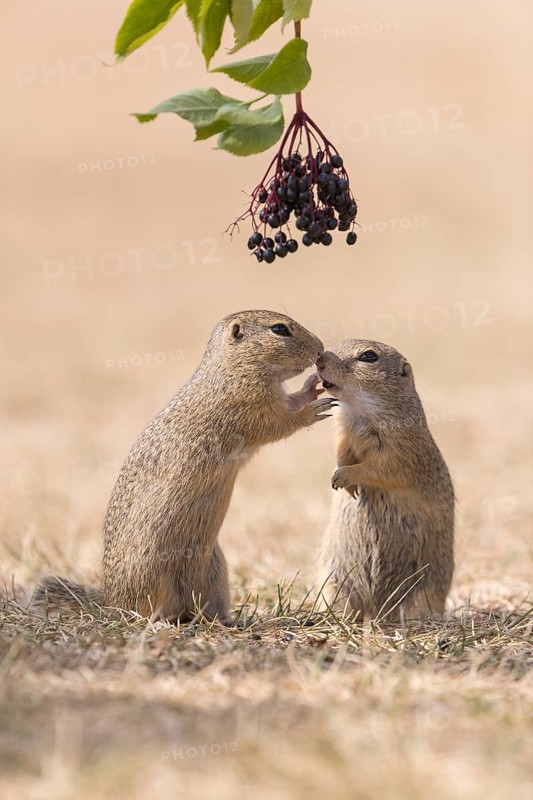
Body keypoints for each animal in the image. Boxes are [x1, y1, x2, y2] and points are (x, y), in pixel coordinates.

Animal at [34, 310, 332, 622]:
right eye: (279, 329)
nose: (321, 349)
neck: (232, 370)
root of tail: (109, 603)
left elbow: (291, 402)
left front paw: (311, 388)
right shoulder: (252, 408)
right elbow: (281, 422)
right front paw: (313, 410)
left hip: (216, 572)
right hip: (153, 576)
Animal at [316, 340, 454, 622]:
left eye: (368, 356)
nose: (319, 360)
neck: (359, 411)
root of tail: (376, 609)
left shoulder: (401, 447)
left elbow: (381, 469)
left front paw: (345, 477)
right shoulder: (344, 433)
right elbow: (341, 453)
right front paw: (341, 480)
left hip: (424, 591)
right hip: (335, 582)